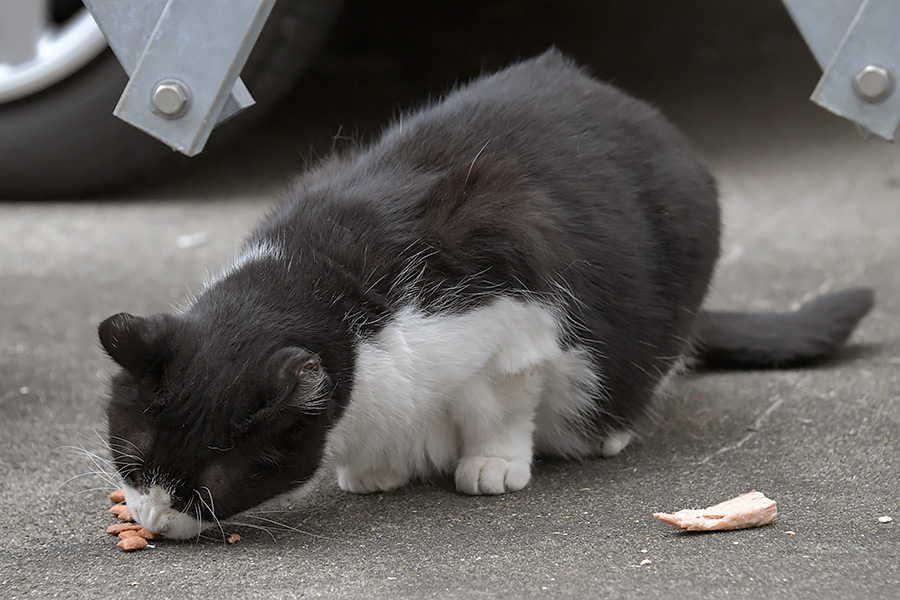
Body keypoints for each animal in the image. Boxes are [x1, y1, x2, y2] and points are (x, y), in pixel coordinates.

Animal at [96, 51, 872, 540]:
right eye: (131, 459)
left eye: (208, 486)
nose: (153, 522)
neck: (319, 272)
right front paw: (373, 467)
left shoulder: (512, 308)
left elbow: (500, 399)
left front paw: (492, 461)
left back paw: (608, 429)